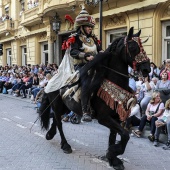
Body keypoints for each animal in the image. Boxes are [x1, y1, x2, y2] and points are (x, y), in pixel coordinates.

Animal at [38, 27, 150, 169]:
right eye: (132, 47)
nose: (147, 69)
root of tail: (52, 78)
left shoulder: (116, 117)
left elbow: (114, 137)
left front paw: (113, 159)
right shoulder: (104, 118)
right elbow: (125, 136)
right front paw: (112, 153)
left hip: (66, 107)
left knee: (56, 120)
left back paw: (50, 134)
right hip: (57, 105)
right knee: (58, 122)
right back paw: (65, 145)